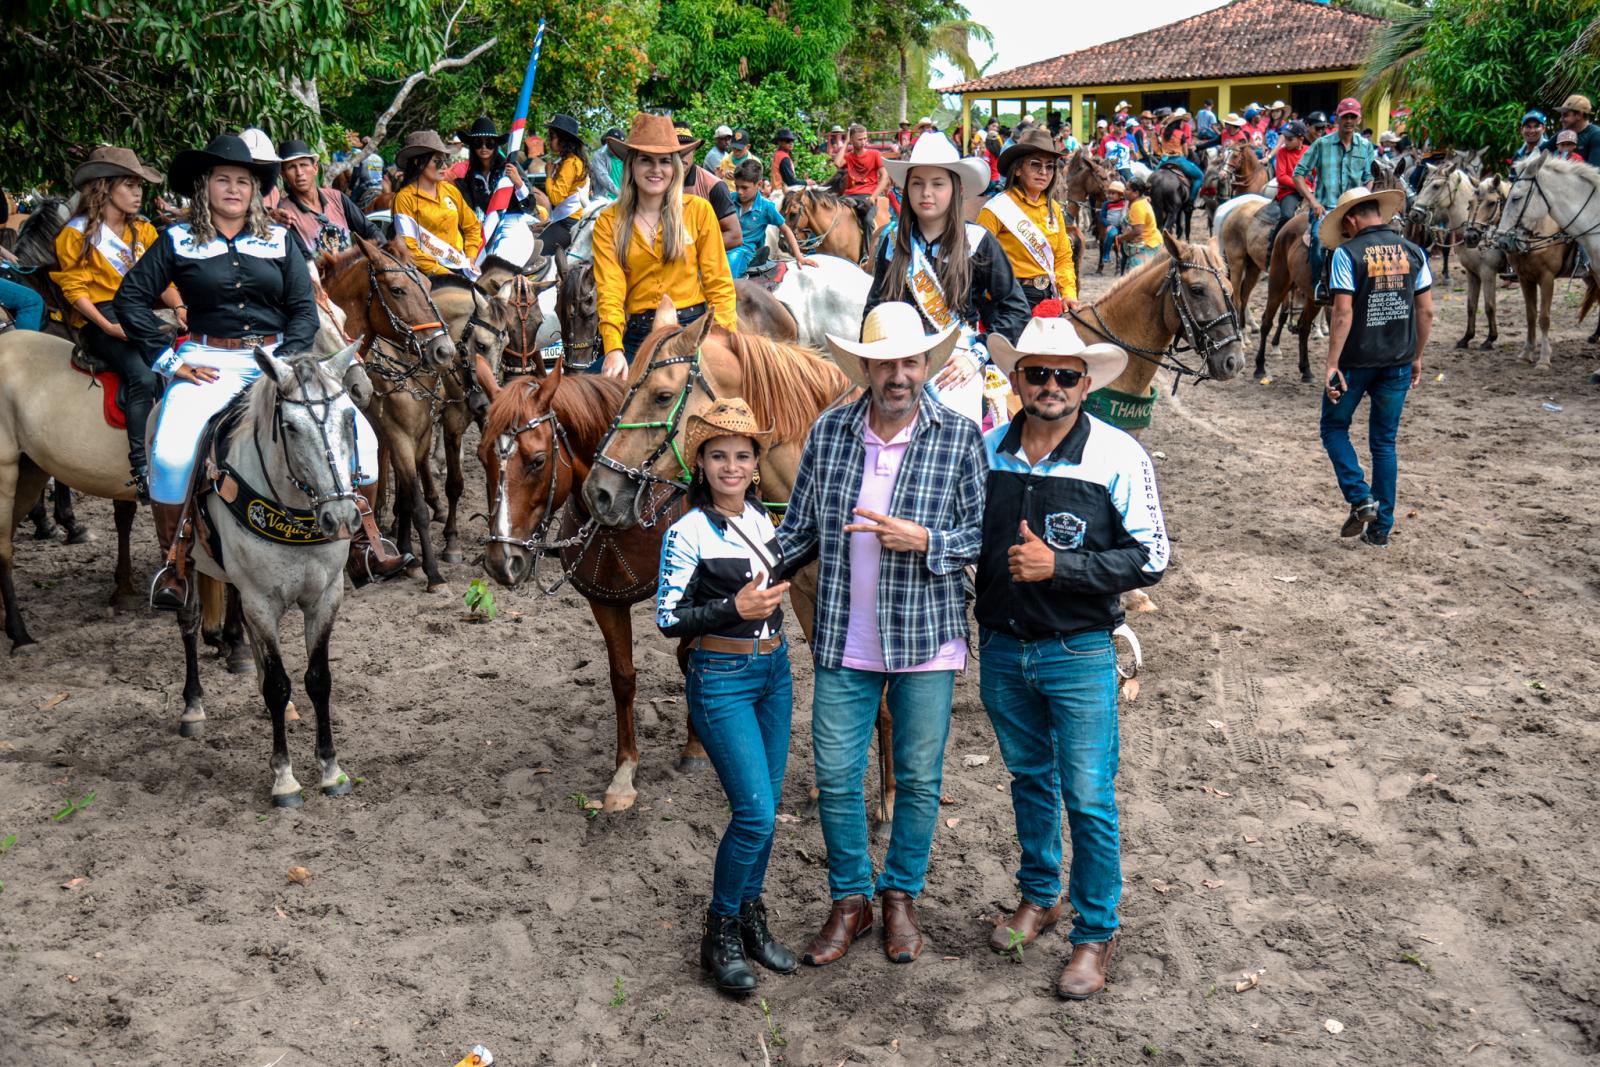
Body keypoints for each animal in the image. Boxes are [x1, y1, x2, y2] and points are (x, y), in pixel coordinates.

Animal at [176, 347, 364, 806]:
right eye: (291, 427)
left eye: (349, 416)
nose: (341, 516)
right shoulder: (261, 599)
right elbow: (279, 684)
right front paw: (284, 778)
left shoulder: (326, 596)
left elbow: (318, 680)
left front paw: (330, 769)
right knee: (188, 622)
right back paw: (193, 707)